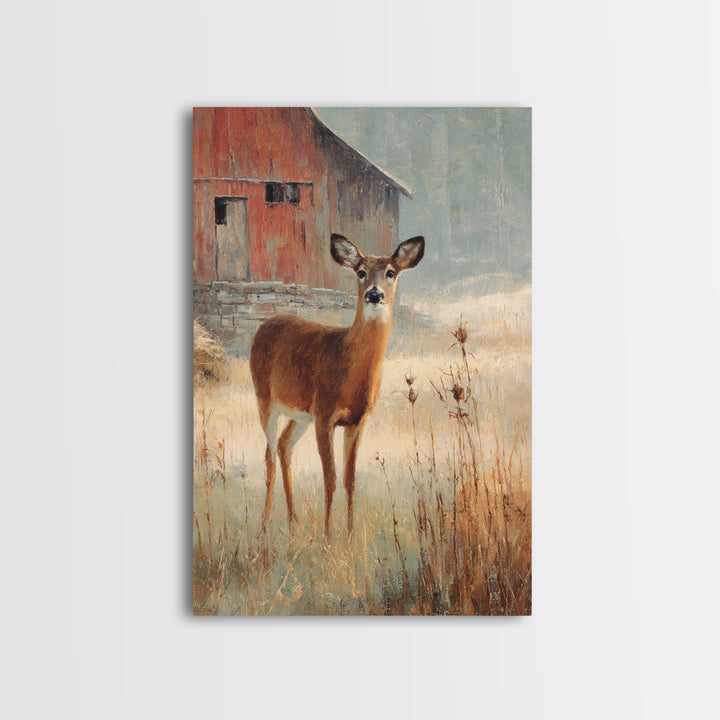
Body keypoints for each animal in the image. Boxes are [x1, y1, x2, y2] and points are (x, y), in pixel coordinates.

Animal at [250, 233, 425, 537]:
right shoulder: (324, 414)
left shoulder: (356, 420)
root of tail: (265, 323)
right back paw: (264, 526)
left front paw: (351, 533)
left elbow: (349, 479)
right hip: (265, 397)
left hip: (300, 414)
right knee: (269, 456)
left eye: (391, 272)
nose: (374, 294)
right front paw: (328, 535)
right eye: (361, 272)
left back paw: (293, 521)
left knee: (284, 446)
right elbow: (329, 478)